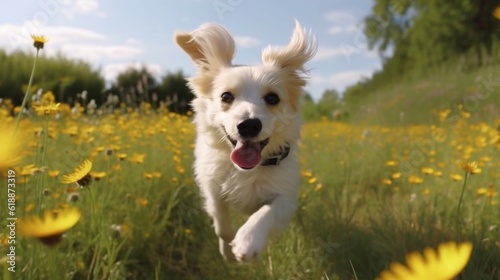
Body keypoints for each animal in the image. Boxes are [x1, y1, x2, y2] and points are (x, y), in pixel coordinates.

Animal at [175, 20, 316, 262]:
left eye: (272, 98)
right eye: (226, 96)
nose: (249, 125)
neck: (246, 170)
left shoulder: (286, 196)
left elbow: (268, 210)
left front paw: (248, 241)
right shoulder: (211, 186)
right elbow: (221, 226)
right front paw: (228, 253)